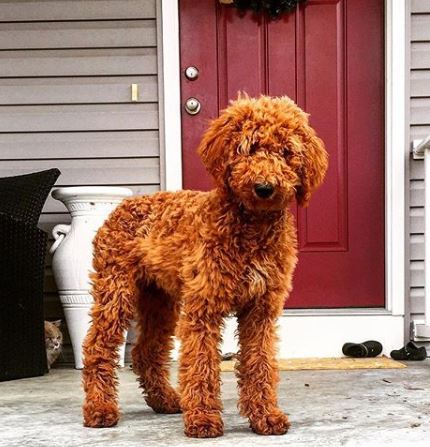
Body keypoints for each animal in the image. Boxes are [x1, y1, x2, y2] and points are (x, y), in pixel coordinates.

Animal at [82, 94, 328, 438]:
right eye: (249, 147)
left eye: (286, 152)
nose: (265, 187)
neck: (250, 230)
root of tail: (120, 207)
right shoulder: (203, 307)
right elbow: (201, 363)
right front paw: (202, 419)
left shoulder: (261, 310)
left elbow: (259, 363)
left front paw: (265, 415)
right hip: (116, 291)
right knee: (97, 348)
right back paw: (100, 409)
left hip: (159, 300)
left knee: (146, 352)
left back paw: (166, 400)